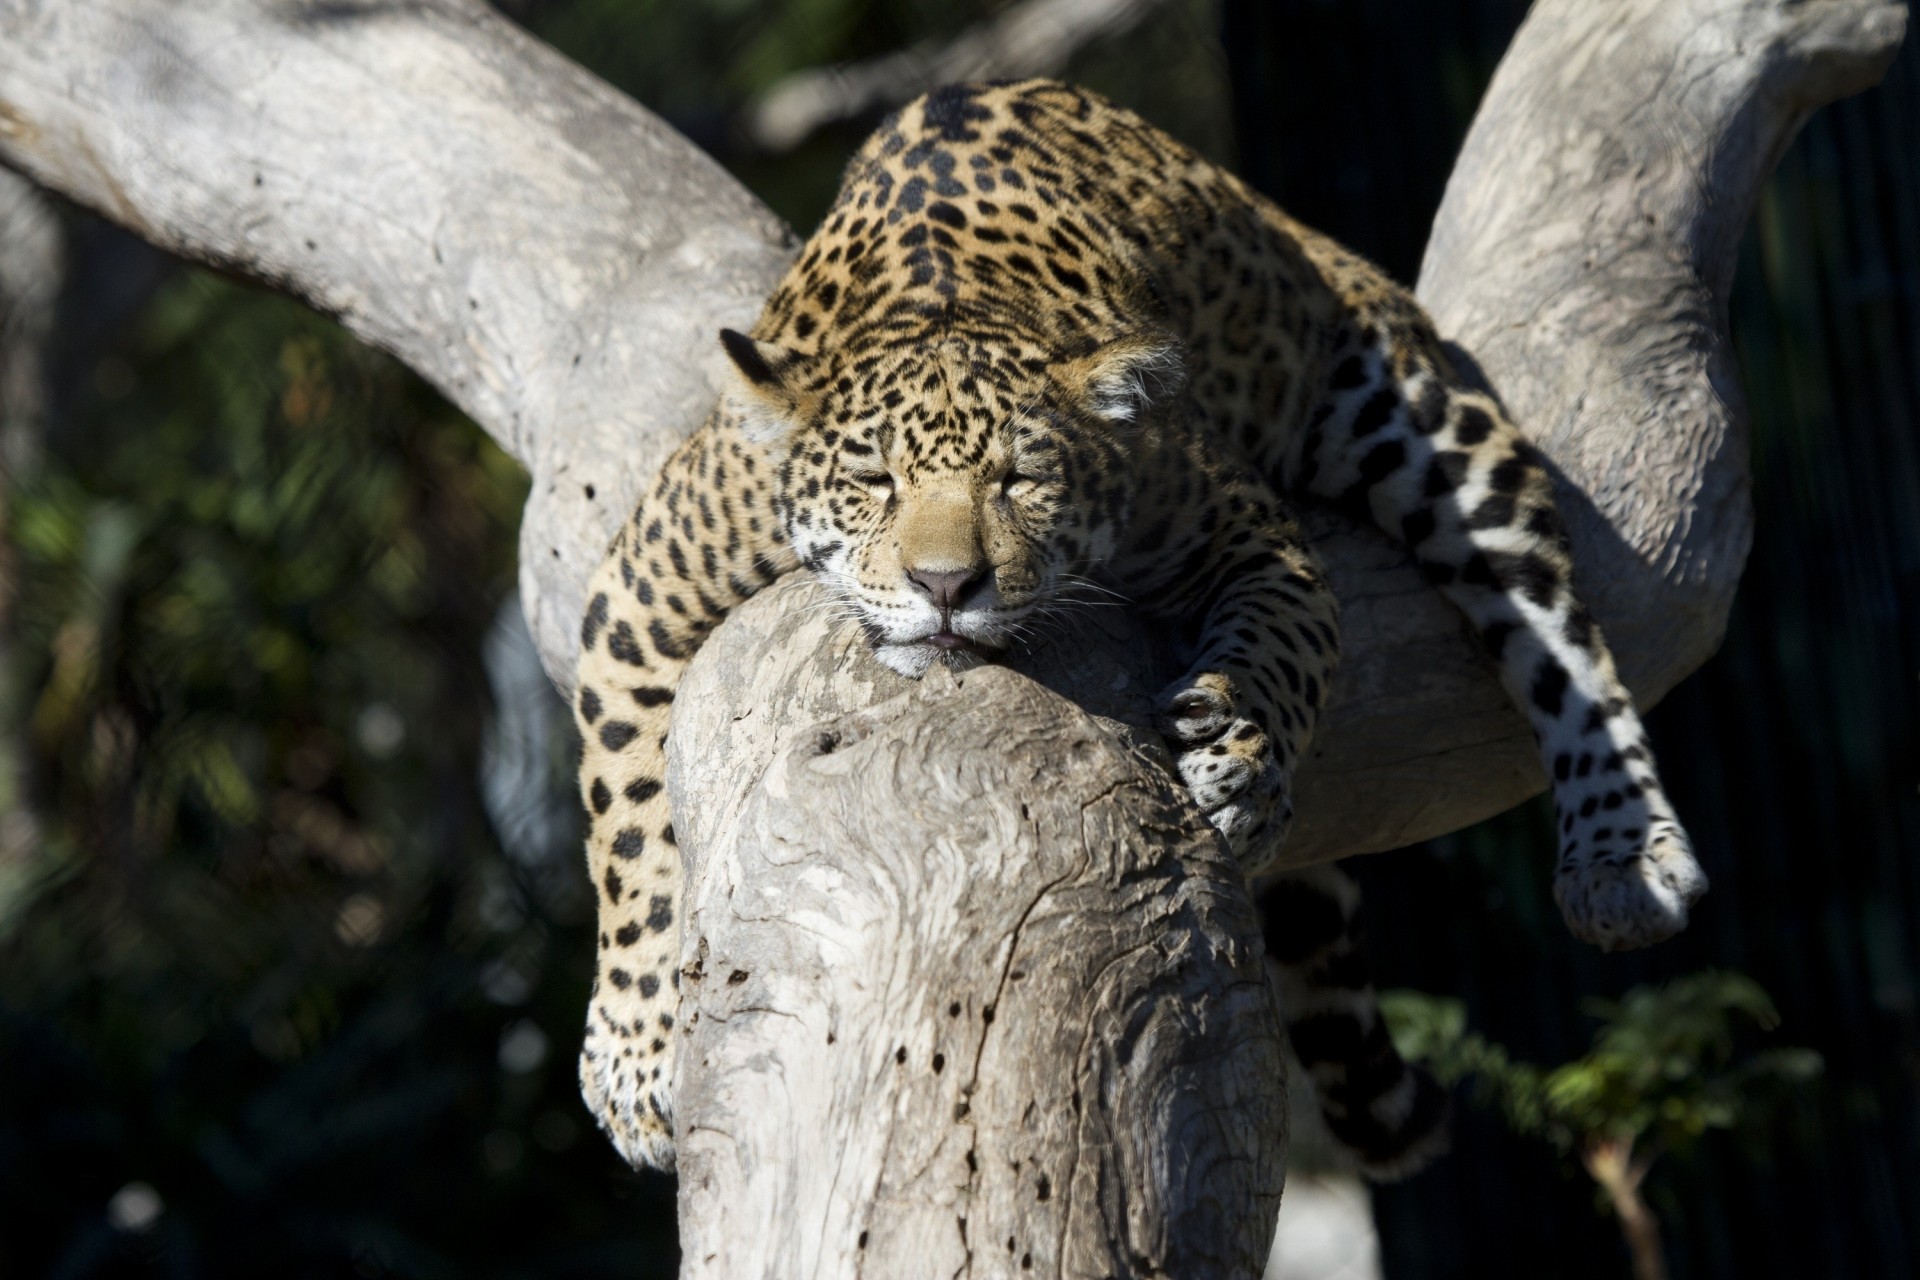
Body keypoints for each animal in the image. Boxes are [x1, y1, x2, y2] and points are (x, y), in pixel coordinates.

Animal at [571, 79, 1709, 1176]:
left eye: (1021, 480)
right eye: (873, 482)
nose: (947, 584)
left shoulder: (1251, 531)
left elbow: (1287, 655)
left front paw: (1238, 763)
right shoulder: (640, 592)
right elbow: (628, 833)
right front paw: (636, 1056)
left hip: (1426, 420)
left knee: (1567, 645)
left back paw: (1622, 852)